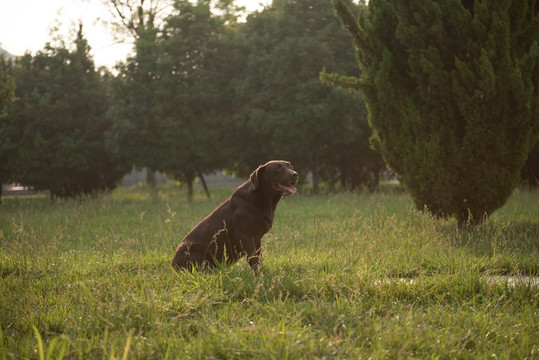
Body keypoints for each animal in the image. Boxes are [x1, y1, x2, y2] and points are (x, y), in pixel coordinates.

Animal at [172, 160, 300, 270]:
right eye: (277, 168)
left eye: (291, 167)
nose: (295, 174)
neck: (260, 198)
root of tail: (172, 266)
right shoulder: (246, 237)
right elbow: (254, 261)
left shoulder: (257, 239)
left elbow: (259, 259)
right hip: (194, 251)